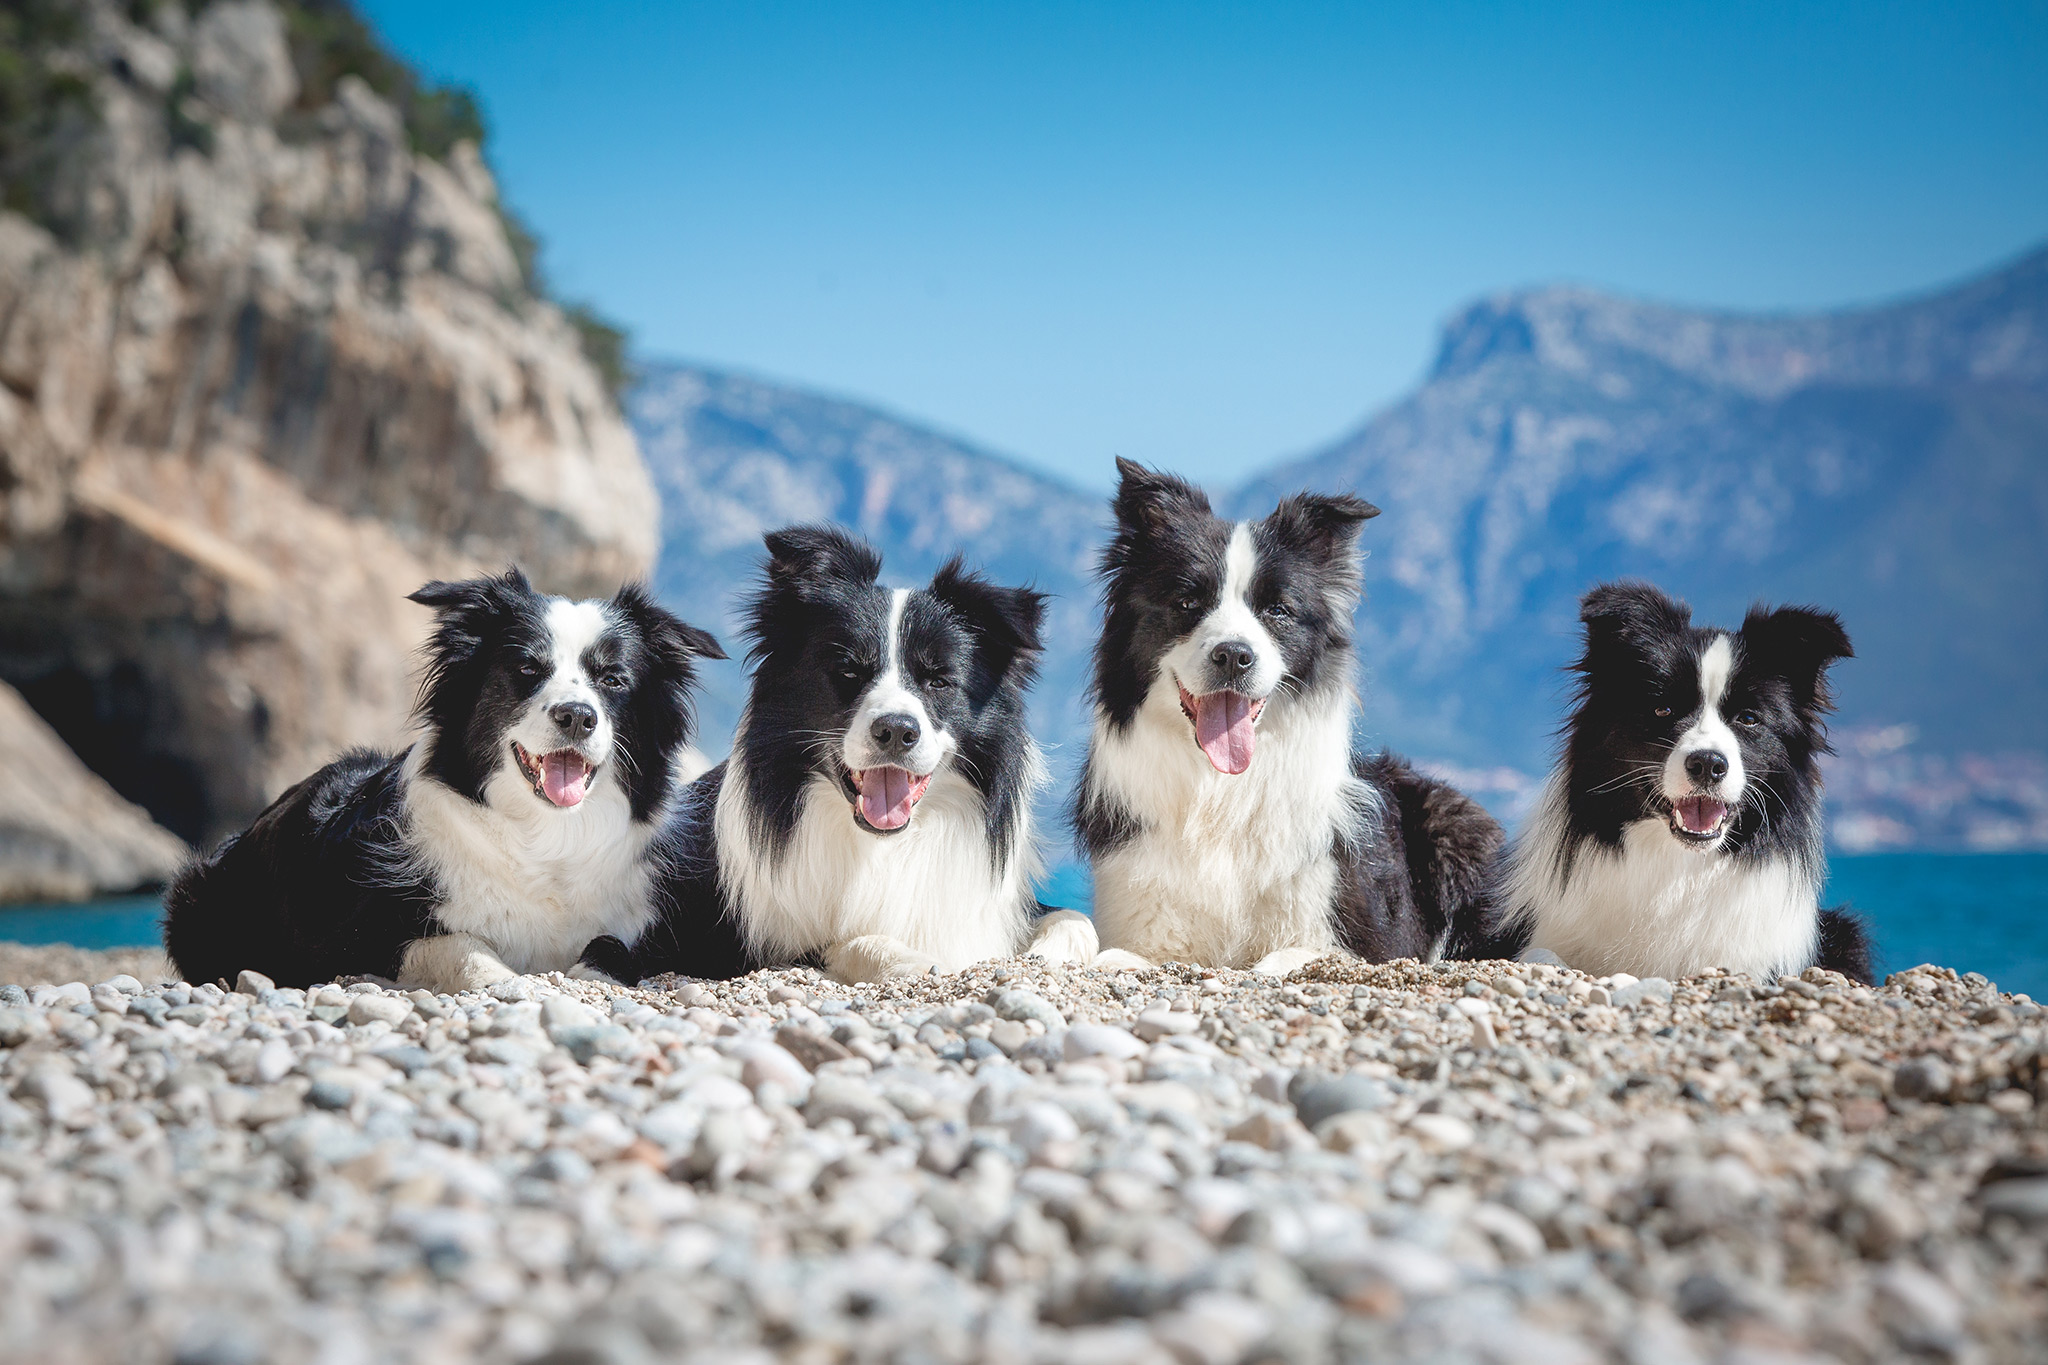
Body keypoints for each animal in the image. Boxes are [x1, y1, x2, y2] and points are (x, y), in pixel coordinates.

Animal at [167, 568, 729, 994]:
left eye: (613, 679)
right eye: (527, 668)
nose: (577, 716)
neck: (543, 837)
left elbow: (612, 947)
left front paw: (595, 973)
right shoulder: (352, 938)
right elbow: (460, 945)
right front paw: (513, 980)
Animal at [585, 523, 1097, 982]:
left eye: (939, 680)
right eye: (849, 671)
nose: (897, 731)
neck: (881, 846)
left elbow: (1076, 920)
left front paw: (1049, 952)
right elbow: (841, 941)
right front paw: (913, 960)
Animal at [1081, 464, 1499, 978]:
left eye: (1277, 610)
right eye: (1186, 603)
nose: (1234, 655)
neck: (1222, 791)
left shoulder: (1356, 937)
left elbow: (1278, 960)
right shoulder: (1142, 923)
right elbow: (1116, 955)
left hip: (1454, 819)